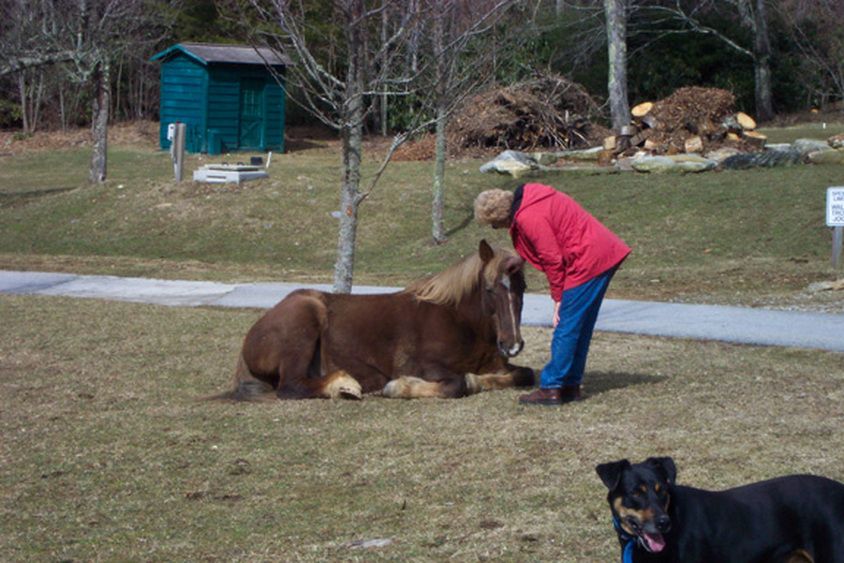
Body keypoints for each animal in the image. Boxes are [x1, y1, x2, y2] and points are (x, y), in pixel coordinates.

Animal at [226, 238, 536, 400]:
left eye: (522, 287)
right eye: (490, 289)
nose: (512, 344)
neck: (459, 321)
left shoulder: (497, 364)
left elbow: (525, 374)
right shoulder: (427, 366)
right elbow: (458, 383)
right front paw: (399, 386)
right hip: (304, 320)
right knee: (291, 386)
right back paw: (345, 385)